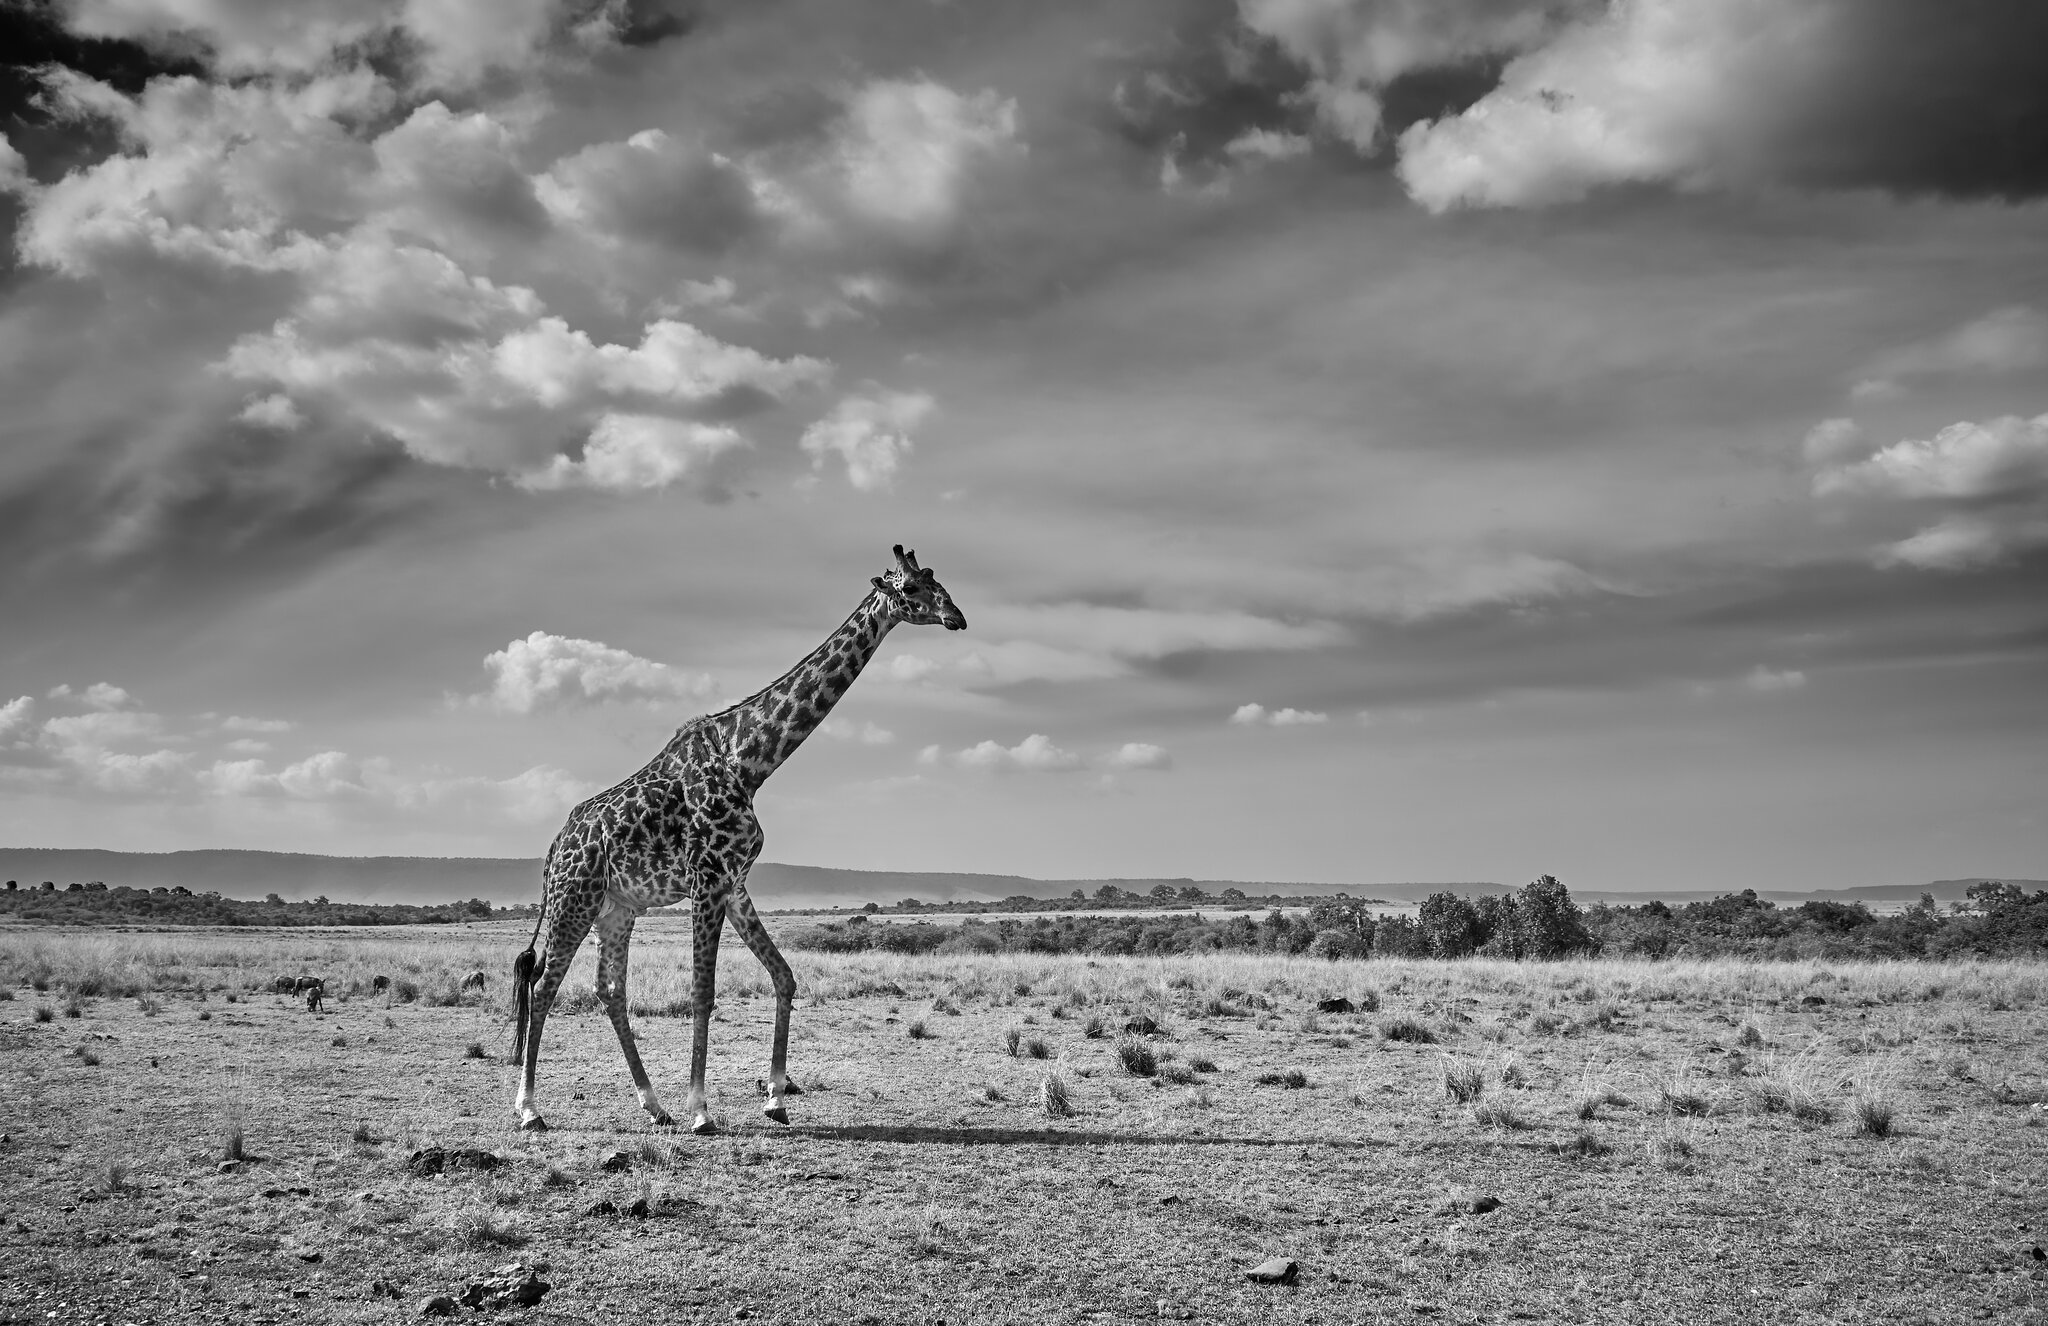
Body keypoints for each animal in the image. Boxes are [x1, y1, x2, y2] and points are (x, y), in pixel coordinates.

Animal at [507, 545, 962, 1139]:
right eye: (909, 589)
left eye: (938, 582)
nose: (957, 617)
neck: (749, 762)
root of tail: (553, 849)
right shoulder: (707, 881)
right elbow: (703, 991)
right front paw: (703, 1110)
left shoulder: (735, 881)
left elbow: (785, 976)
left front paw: (775, 1100)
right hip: (574, 899)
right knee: (543, 988)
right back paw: (530, 1109)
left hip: (617, 908)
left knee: (610, 990)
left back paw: (653, 1105)